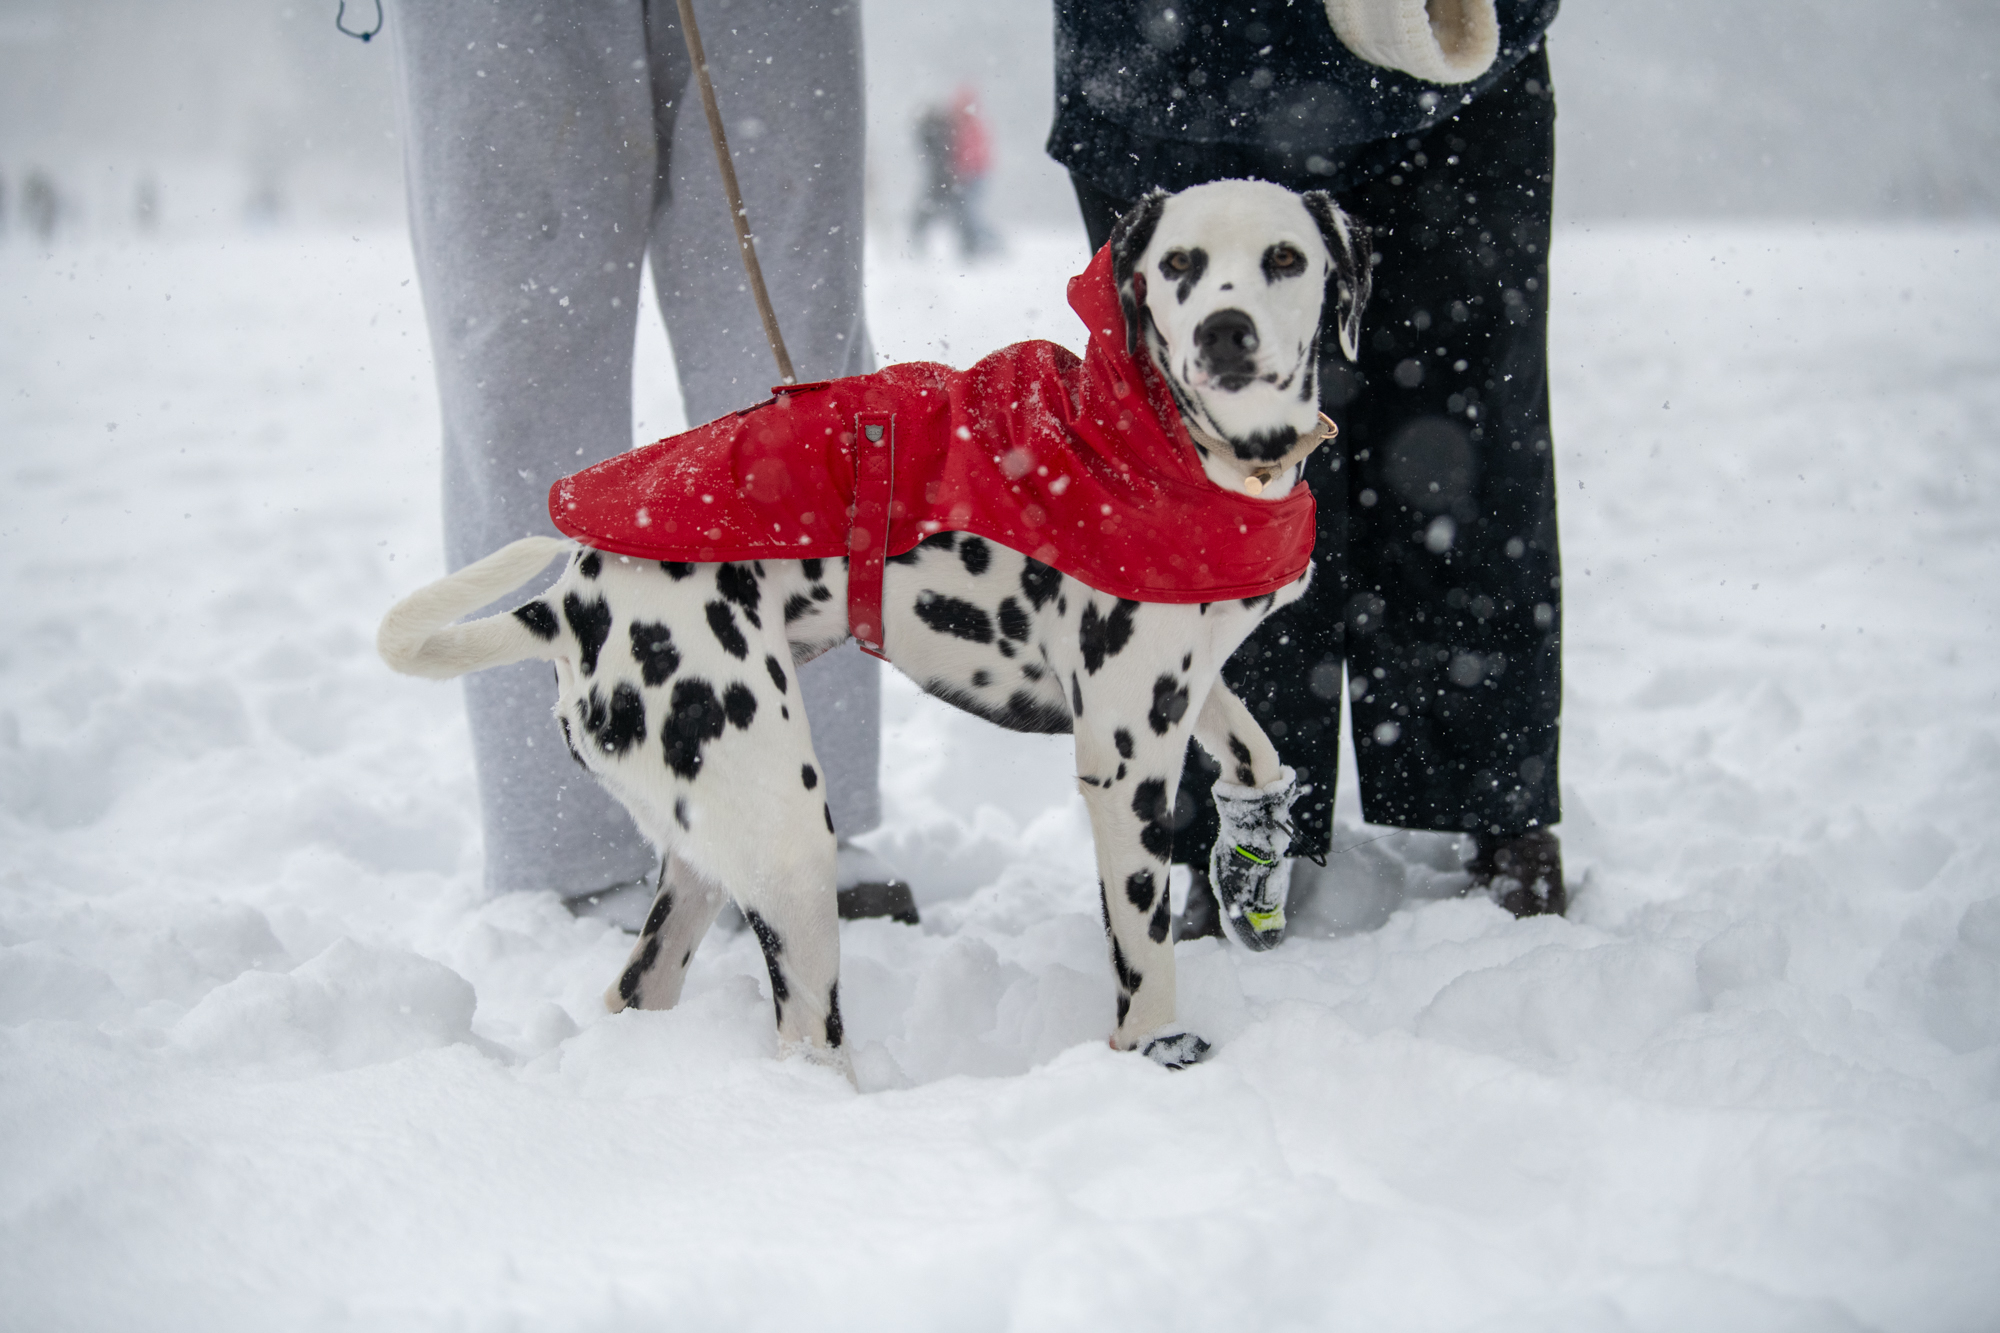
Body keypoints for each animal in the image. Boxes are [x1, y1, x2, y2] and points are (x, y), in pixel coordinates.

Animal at [378, 179, 1360, 1072]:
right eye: (1180, 264)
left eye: (1284, 258)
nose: (1223, 331)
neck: (1166, 446)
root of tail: (569, 601)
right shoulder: (1124, 762)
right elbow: (1143, 947)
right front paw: (1157, 1047)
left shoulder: (1183, 687)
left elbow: (1256, 752)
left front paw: (1255, 858)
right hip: (791, 845)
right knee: (807, 1037)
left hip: (706, 855)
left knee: (639, 988)